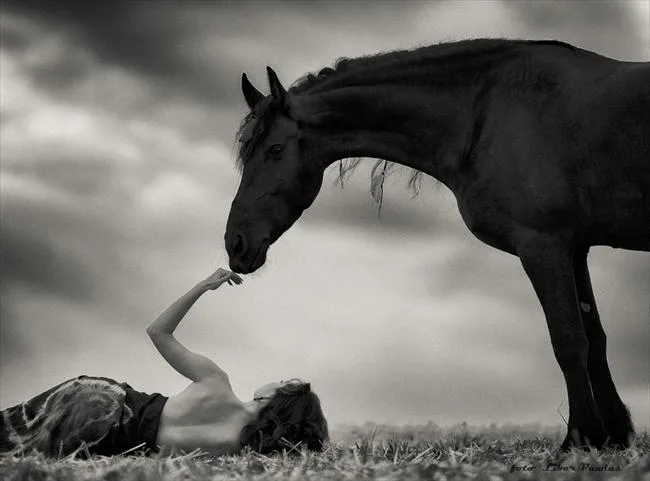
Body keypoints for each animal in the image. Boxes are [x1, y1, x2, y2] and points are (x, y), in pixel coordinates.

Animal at [224, 39, 650, 450]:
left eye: (275, 149)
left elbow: (569, 340)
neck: (486, 114)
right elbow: (595, 338)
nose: (235, 244)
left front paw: (581, 437)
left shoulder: (544, 244)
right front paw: (614, 434)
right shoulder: (574, 247)